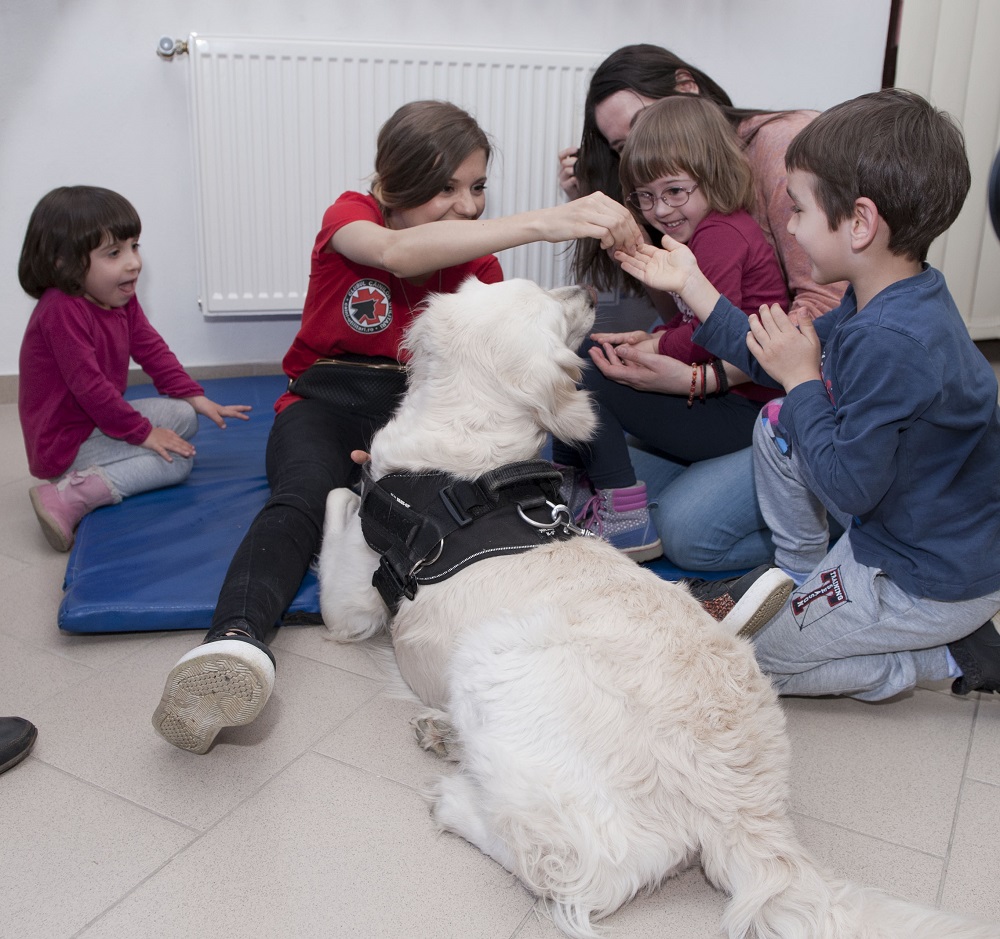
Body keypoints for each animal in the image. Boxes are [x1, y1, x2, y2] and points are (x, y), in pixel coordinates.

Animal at [316, 280, 996, 939]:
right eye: (539, 292)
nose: (588, 290)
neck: (469, 460)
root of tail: (749, 805)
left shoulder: (356, 605)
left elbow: (336, 497)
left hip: (496, 661)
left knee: (576, 869)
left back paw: (456, 801)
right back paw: (446, 736)